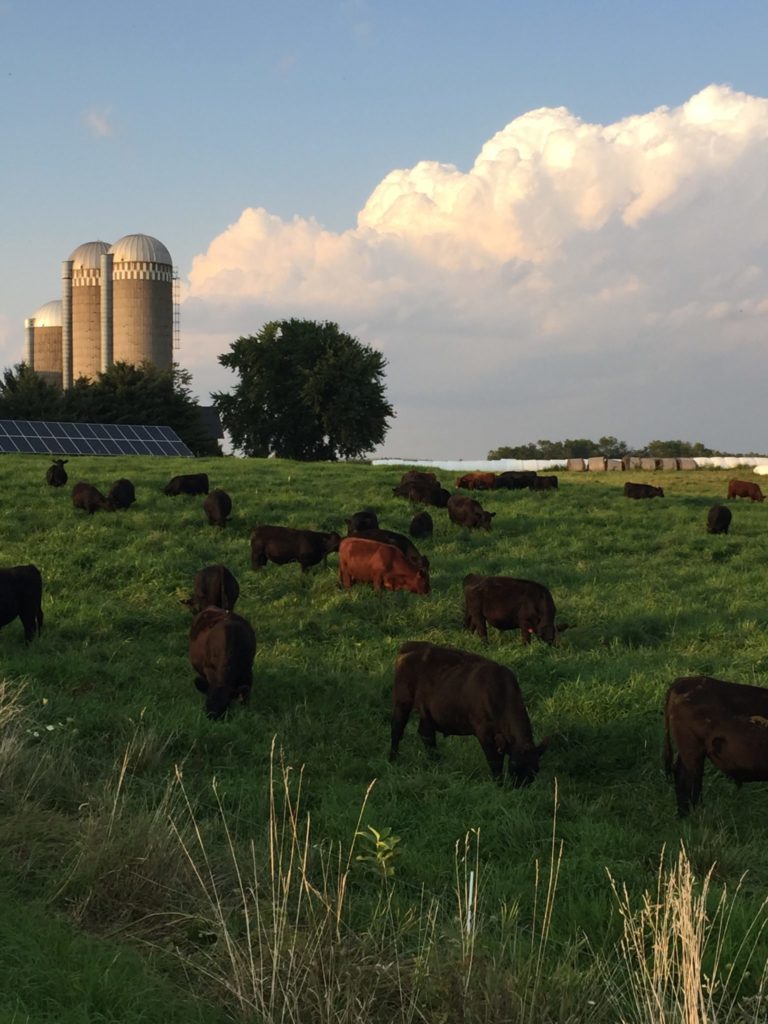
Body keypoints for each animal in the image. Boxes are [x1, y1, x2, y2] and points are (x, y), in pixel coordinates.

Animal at [391, 638, 548, 782]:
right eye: (515, 764)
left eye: (536, 769)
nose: (520, 785)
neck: (500, 691)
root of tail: (409, 645)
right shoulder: (483, 732)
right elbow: (494, 761)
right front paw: (498, 783)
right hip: (402, 702)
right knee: (397, 729)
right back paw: (393, 758)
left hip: (427, 713)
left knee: (426, 735)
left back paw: (435, 762)